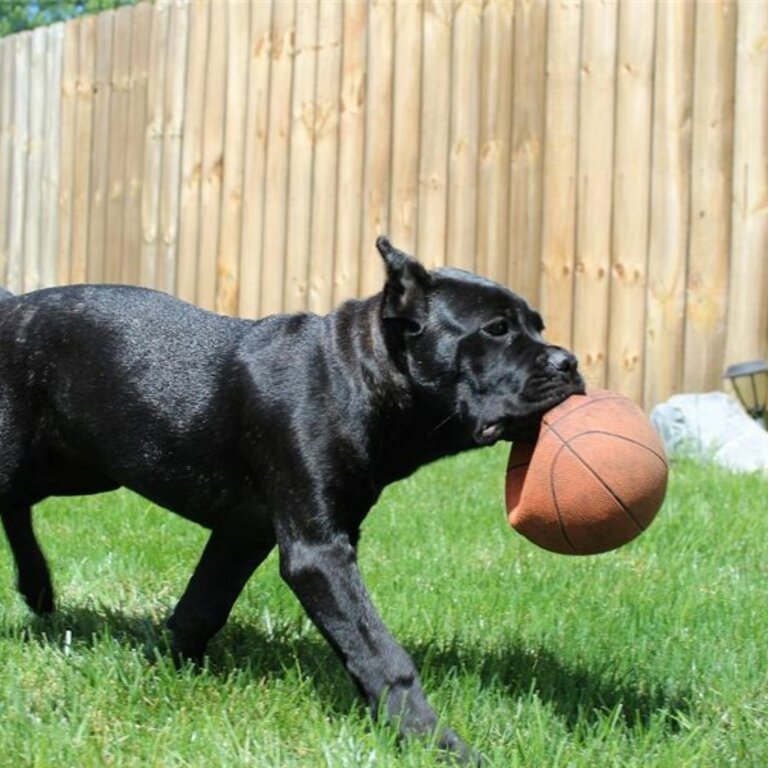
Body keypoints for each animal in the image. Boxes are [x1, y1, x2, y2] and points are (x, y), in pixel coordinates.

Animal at [0, 238, 580, 760]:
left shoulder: (243, 533)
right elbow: (380, 653)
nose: (569, 362)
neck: (359, 372)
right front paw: (436, 742)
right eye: (496, 329)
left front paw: (162, 666)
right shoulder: (318, 552)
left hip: (80, 464)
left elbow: (202, 606)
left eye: (538, 326)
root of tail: (11, 306)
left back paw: (38, 586)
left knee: (20, 503)